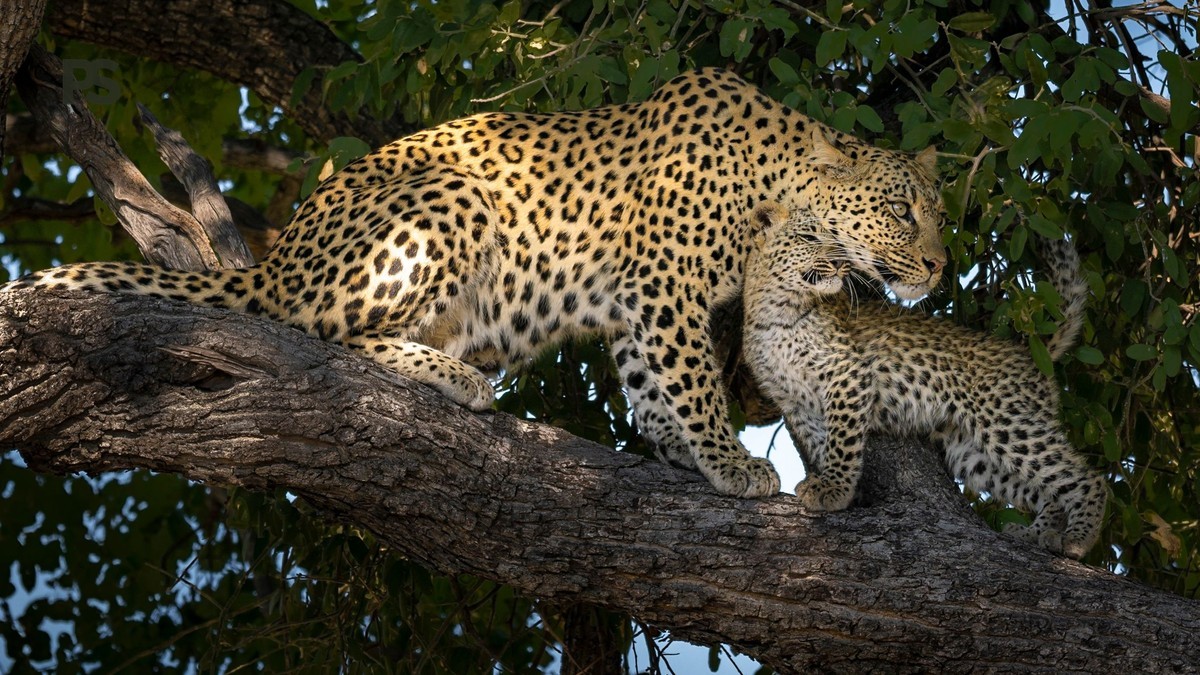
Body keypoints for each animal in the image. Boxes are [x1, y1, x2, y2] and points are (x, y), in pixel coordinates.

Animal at [4, 68, 947, 499]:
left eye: (939, 214)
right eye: (902, 211)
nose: (940, 265)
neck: (775, 189)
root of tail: (278, 257)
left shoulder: (636, 303)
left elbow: (651, 386)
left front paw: (681, 454)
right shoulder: (664, 282)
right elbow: (691, 378)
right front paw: (728, 461)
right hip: (447, 198)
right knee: (320, 332)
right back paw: (452, 377)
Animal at [742, 203, 1107, 558]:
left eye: (838, 243)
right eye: (808, 237)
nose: (839, 264)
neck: (774, 311)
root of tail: (1030, 354)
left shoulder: (848, 374)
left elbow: (842, 442)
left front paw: (834, 489)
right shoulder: (796, 403)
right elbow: (821, 443)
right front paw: (841, 490)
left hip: (1008, 422)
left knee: (1085, 476)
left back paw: (1077, 539)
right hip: (973, 453)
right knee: (1046, 490)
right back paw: (1038, 534)